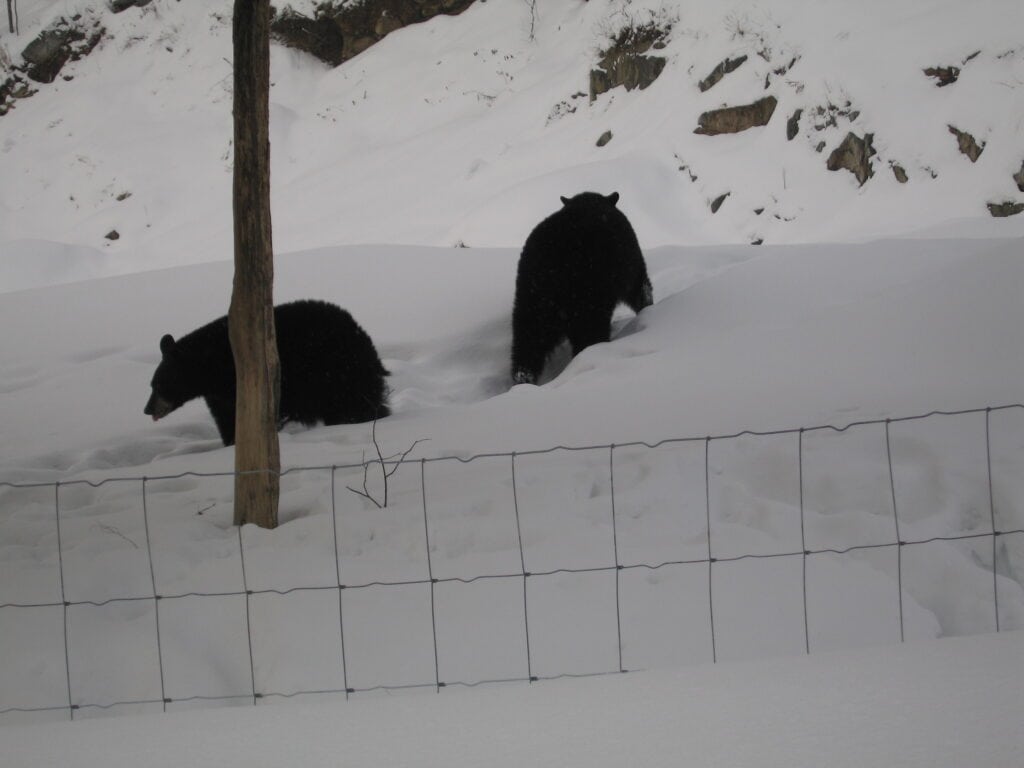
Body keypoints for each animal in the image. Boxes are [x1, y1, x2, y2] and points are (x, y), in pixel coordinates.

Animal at [148, 299, 391, 448]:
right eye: (152, 385)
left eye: (158, 385)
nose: (147, 408)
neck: (209, 366)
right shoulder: (220, 396)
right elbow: (227, 419)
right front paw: (232, 442)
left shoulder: (239, 381)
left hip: (339, 375)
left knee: (355, 407)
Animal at [512, 192, 655, 385]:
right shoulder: (631, 262)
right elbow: (640, 288)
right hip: (587, 294)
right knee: (589, 332)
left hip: (531, 298)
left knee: (528, 338)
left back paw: (523, 377)